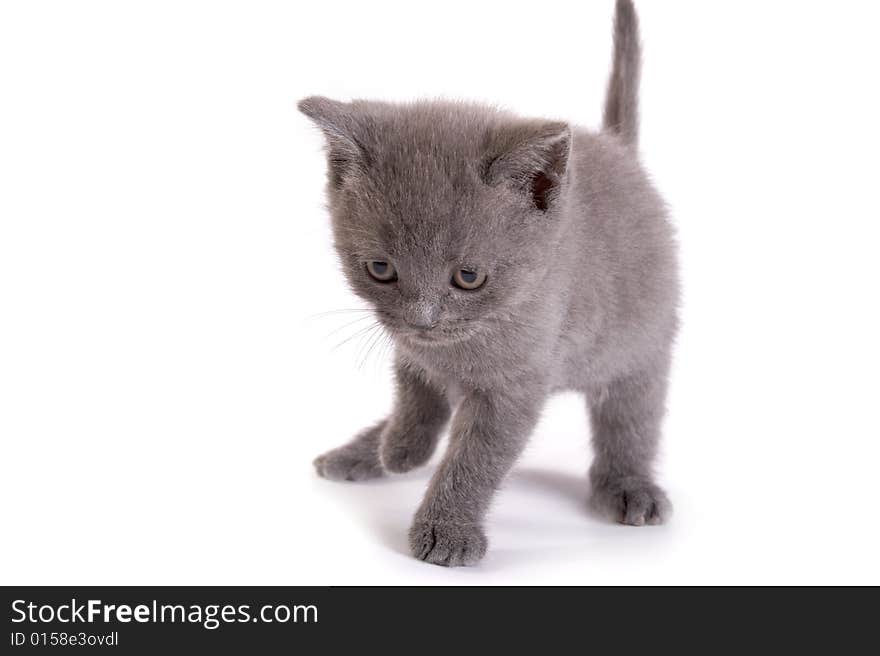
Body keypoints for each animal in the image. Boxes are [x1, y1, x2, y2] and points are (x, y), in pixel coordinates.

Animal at [300, 0, 676, 564]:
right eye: (381, 269)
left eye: (468, 277)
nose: (425, 318)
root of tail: (620, 151)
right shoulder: (408, 344)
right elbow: (414, 386)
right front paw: (401, 446)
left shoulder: (516, 384)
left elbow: (476, 458)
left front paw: (445, 532)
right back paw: (365, 450)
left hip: (640, 347)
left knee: (631, 421)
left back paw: (631, 488)